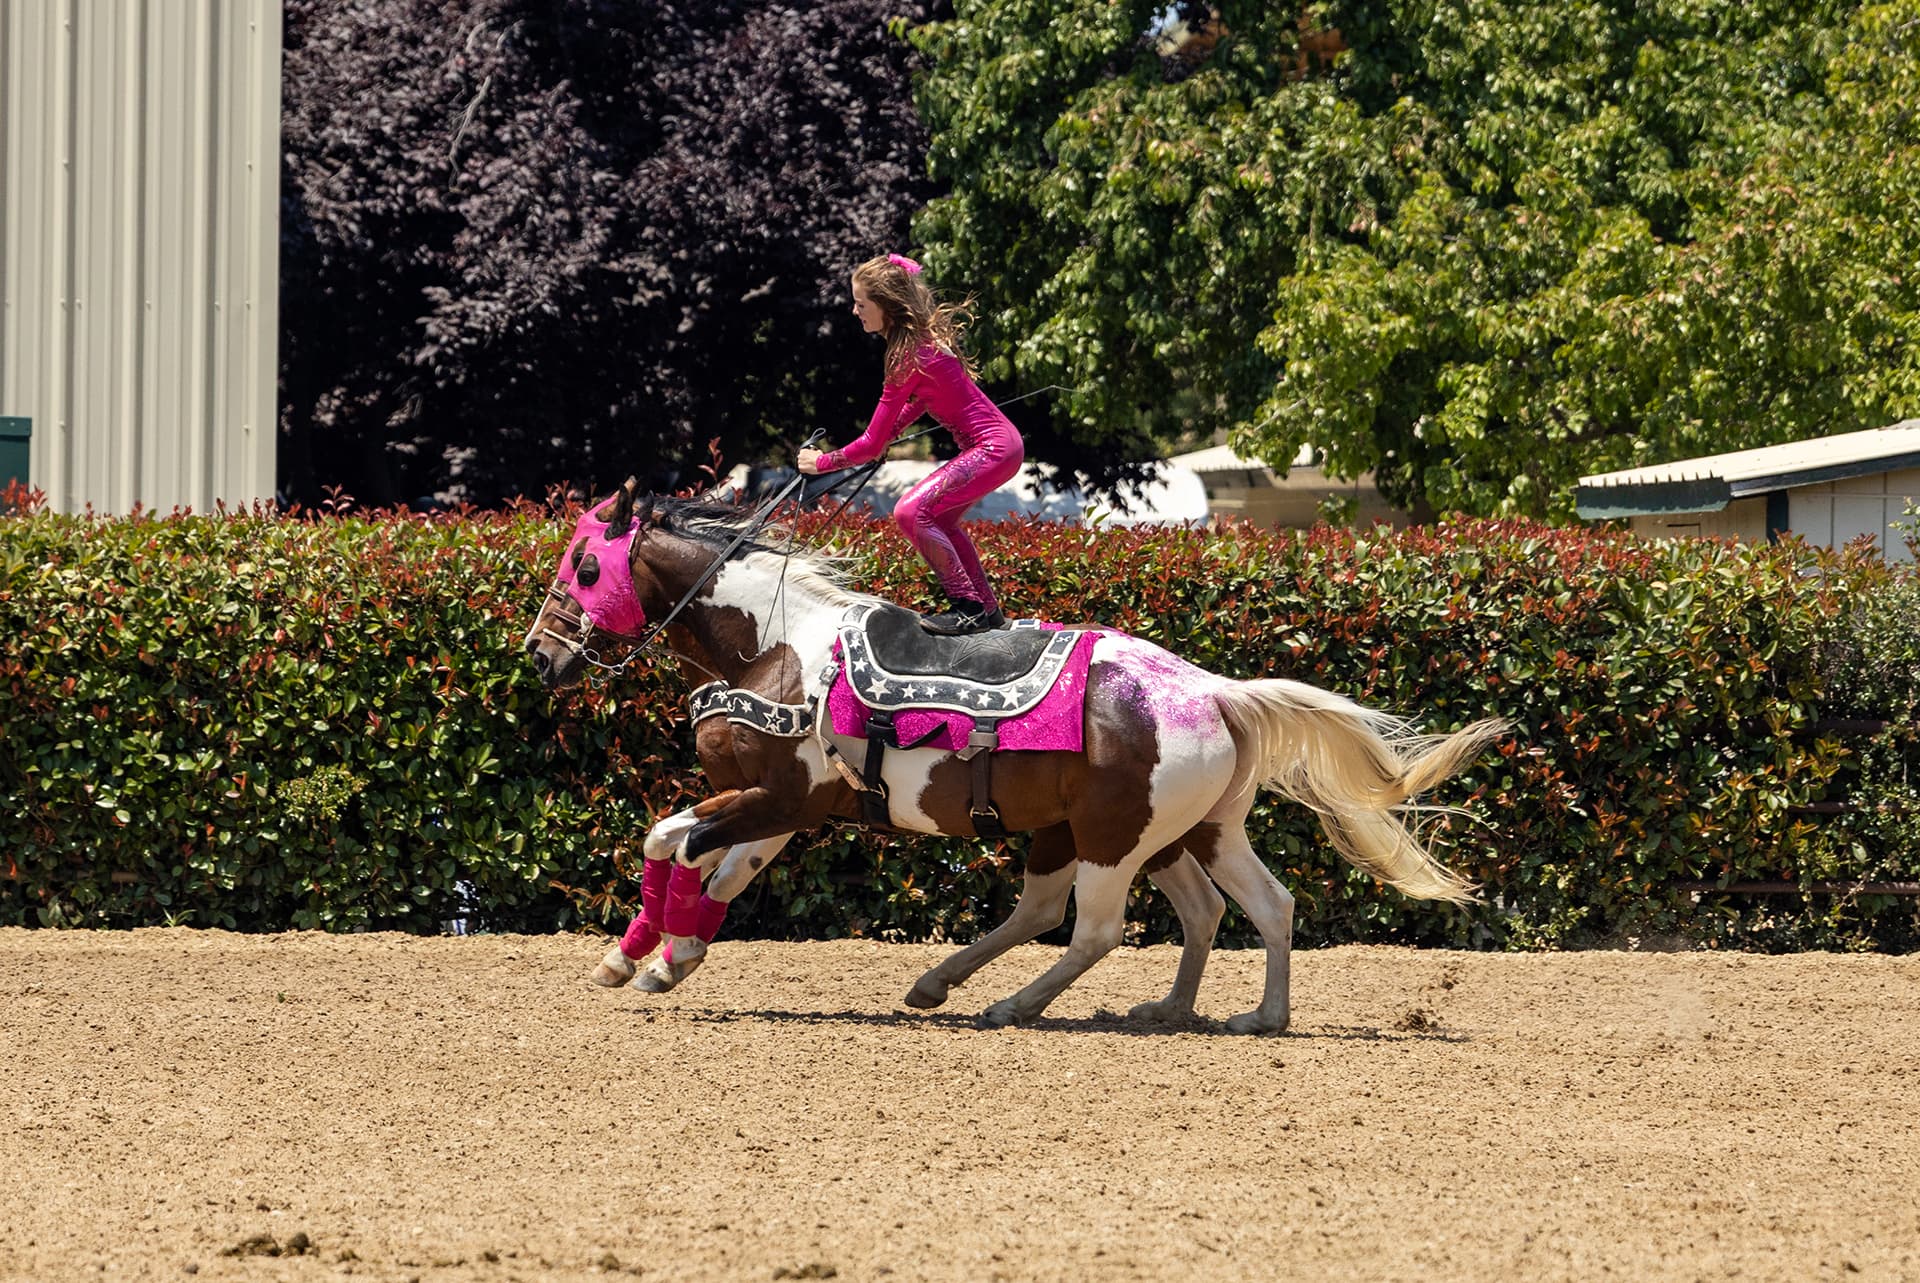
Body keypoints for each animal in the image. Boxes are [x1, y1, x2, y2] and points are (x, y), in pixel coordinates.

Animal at [522, 480, 1507, 1033]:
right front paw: (667, 953)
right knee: (1248, 906)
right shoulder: (784, 803)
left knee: (1096, 927)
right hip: (1186, 833)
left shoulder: (779, 797)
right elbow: (719, 868)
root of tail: (1215, 689)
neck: (775, 644)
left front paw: (649, 954)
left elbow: (670, 841)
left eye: (582, 567)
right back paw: (1231, 1013)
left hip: (1114, 837)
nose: (538, 654)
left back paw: (1011, 1004)